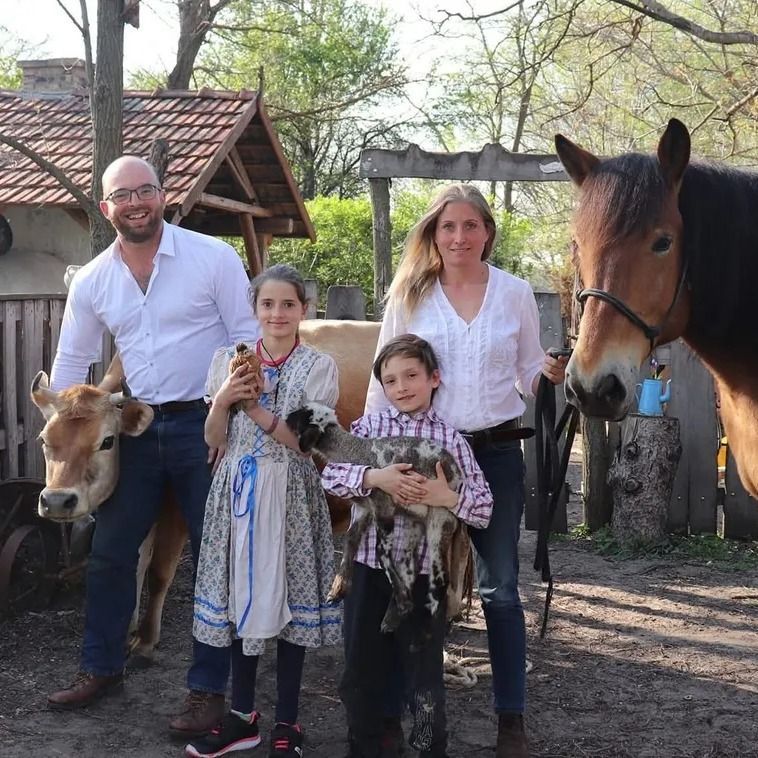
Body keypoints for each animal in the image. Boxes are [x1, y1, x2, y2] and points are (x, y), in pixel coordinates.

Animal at [285, 401, 460, 633]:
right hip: (413, 521)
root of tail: (458, 473)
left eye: (303, 415)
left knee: (441, 578)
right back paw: (392, 617)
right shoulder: (364, 508)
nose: (286, 418)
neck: (355, 452)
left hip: (440, 518)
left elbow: (380, 553)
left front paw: (403, 604)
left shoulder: (383, 505)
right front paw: (337, 590)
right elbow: (351, 540)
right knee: (408, 565)